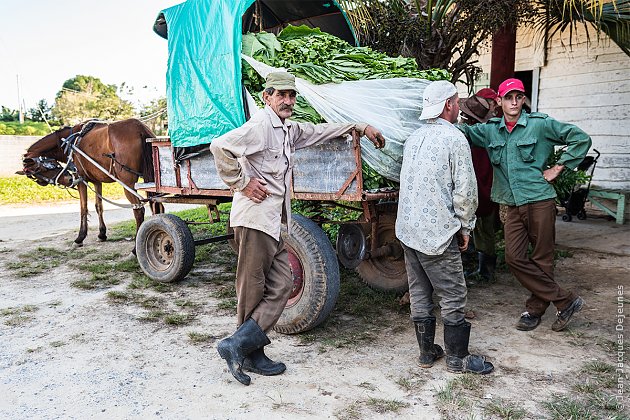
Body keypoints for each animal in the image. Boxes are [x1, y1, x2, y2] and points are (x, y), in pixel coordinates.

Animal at [18, 116, 164, 251]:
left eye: (41, 170)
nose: (68, 180)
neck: (70, 141)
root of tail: (140, 128)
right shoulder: (96, 181)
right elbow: (98, 206)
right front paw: (102, 234)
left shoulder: (81, 179)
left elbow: (83, 208)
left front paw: (80, 238)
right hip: (149, 177)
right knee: (157, 205)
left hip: (127, 182)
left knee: (139, 210)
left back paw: (135, 249)